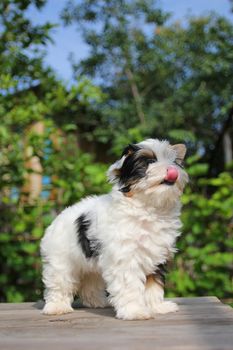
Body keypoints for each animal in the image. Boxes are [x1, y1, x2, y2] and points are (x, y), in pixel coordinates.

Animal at [41, 138, 188, 318]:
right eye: (149, 162)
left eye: (174, 162)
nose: (173, 170)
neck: (148, 208)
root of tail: (57, 219)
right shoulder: (125, 257)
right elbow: (129, 284)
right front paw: (135, 310)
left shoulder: (156, 256)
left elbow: (153, 284)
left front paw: (157, 306)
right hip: (60, 259)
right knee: (60, 281)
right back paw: (56, 306)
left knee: (91, 280)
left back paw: (97, 301)